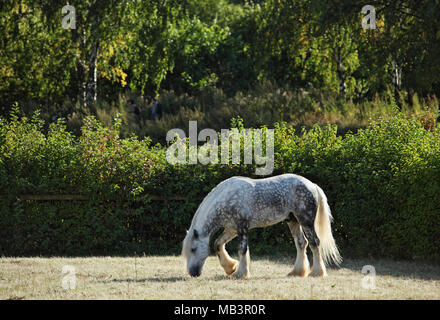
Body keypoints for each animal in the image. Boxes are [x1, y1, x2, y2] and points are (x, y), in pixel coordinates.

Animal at [180, 174, 342, 278]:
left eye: (193, 249)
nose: (192, 273)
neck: (227, 198)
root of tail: (312, 185)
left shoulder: (242, 228)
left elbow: (242, 249)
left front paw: (240, 273)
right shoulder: (231, 228)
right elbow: (217, 244)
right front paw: (230, 268)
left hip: (305, 221)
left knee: (314, 243)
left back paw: (317, 272)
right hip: (293, 221)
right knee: (302, 243)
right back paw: (297, 272)